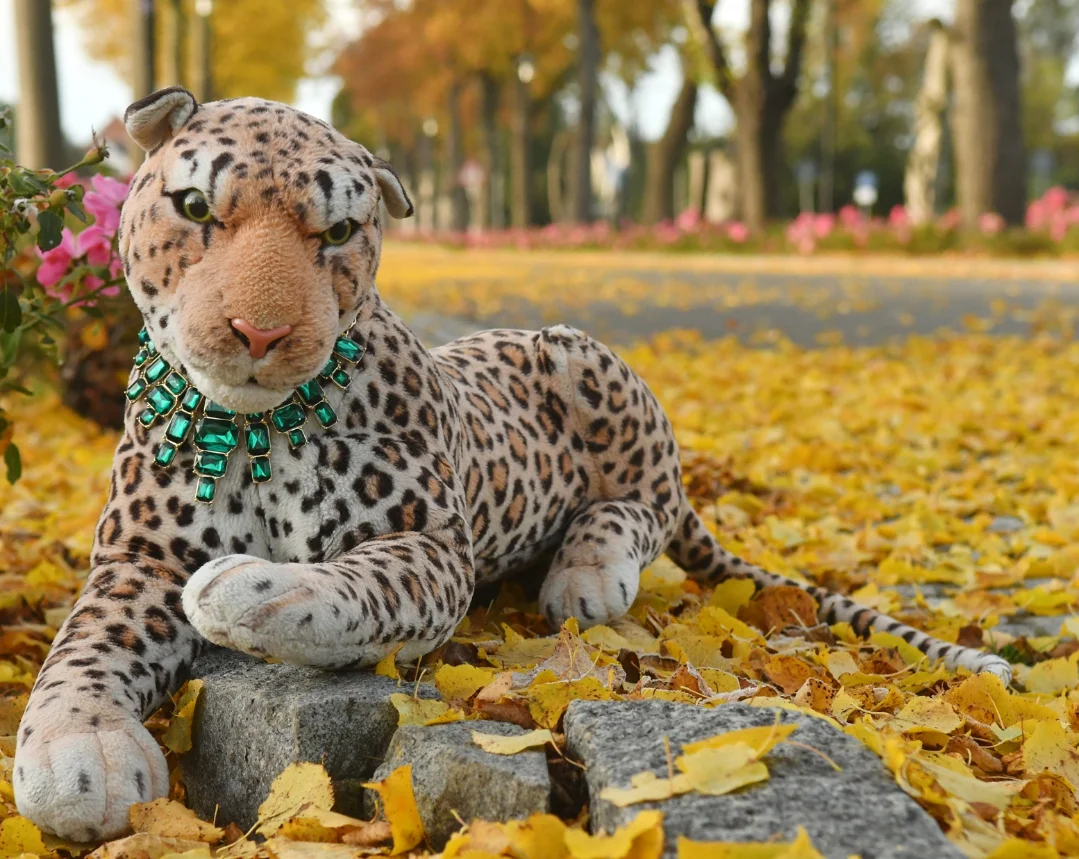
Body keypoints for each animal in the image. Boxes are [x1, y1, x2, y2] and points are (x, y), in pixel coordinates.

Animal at [14, 87, 1012, 841]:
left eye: (336, 234)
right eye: (193, 209)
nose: (260, 332)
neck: (256, 430)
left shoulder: (430, 545)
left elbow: (346, 586)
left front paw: (254, 588)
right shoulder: (135, 561)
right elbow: (80, 649)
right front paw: (78, 753)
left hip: (581, 357)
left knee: (643, 507)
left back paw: (588, 572)